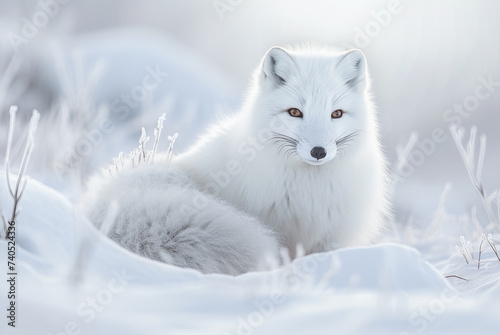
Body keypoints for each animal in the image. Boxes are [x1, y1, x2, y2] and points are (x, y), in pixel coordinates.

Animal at [80, 46, 390, 276]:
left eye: (336, 114)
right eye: (294, 112)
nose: (318, 151)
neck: (310, 188)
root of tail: (99, 204)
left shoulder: (329, 238)